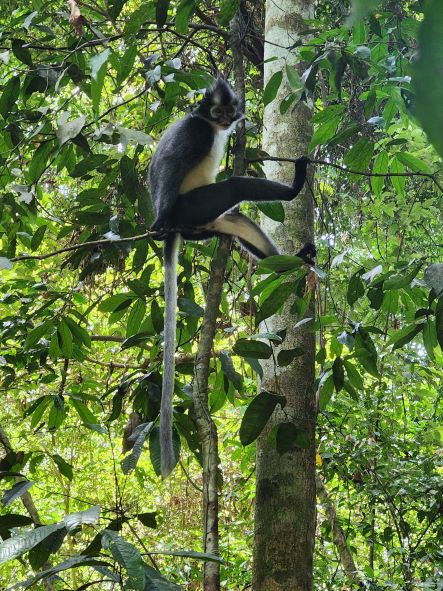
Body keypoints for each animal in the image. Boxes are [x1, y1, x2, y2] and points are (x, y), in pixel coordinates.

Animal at [147, 78, 310, 478]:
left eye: (226, 111)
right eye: (215, 111)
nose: (224, 120)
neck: (211, 127)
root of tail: (181, 227)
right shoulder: (194, 132)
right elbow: (171, 163)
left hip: (204, 221)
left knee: (236, 219)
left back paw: (290, 262)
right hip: (191, 208)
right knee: (235, 186)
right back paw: (294, 189)